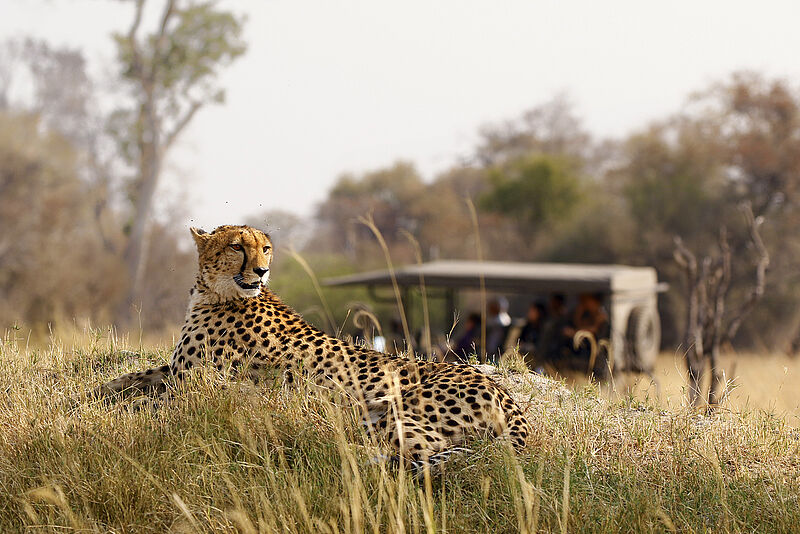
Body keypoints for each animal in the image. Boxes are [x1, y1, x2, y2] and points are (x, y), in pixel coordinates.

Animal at [100, 226, 532, 474]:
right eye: (237, 247)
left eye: (266, 248)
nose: (261, 271)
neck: (217, 292)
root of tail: (505, 393)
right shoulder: (176, 371)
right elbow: (128, 378)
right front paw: (94, 393)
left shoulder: (196, 384)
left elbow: (143, 402)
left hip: (389, 411)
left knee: (431, 453)